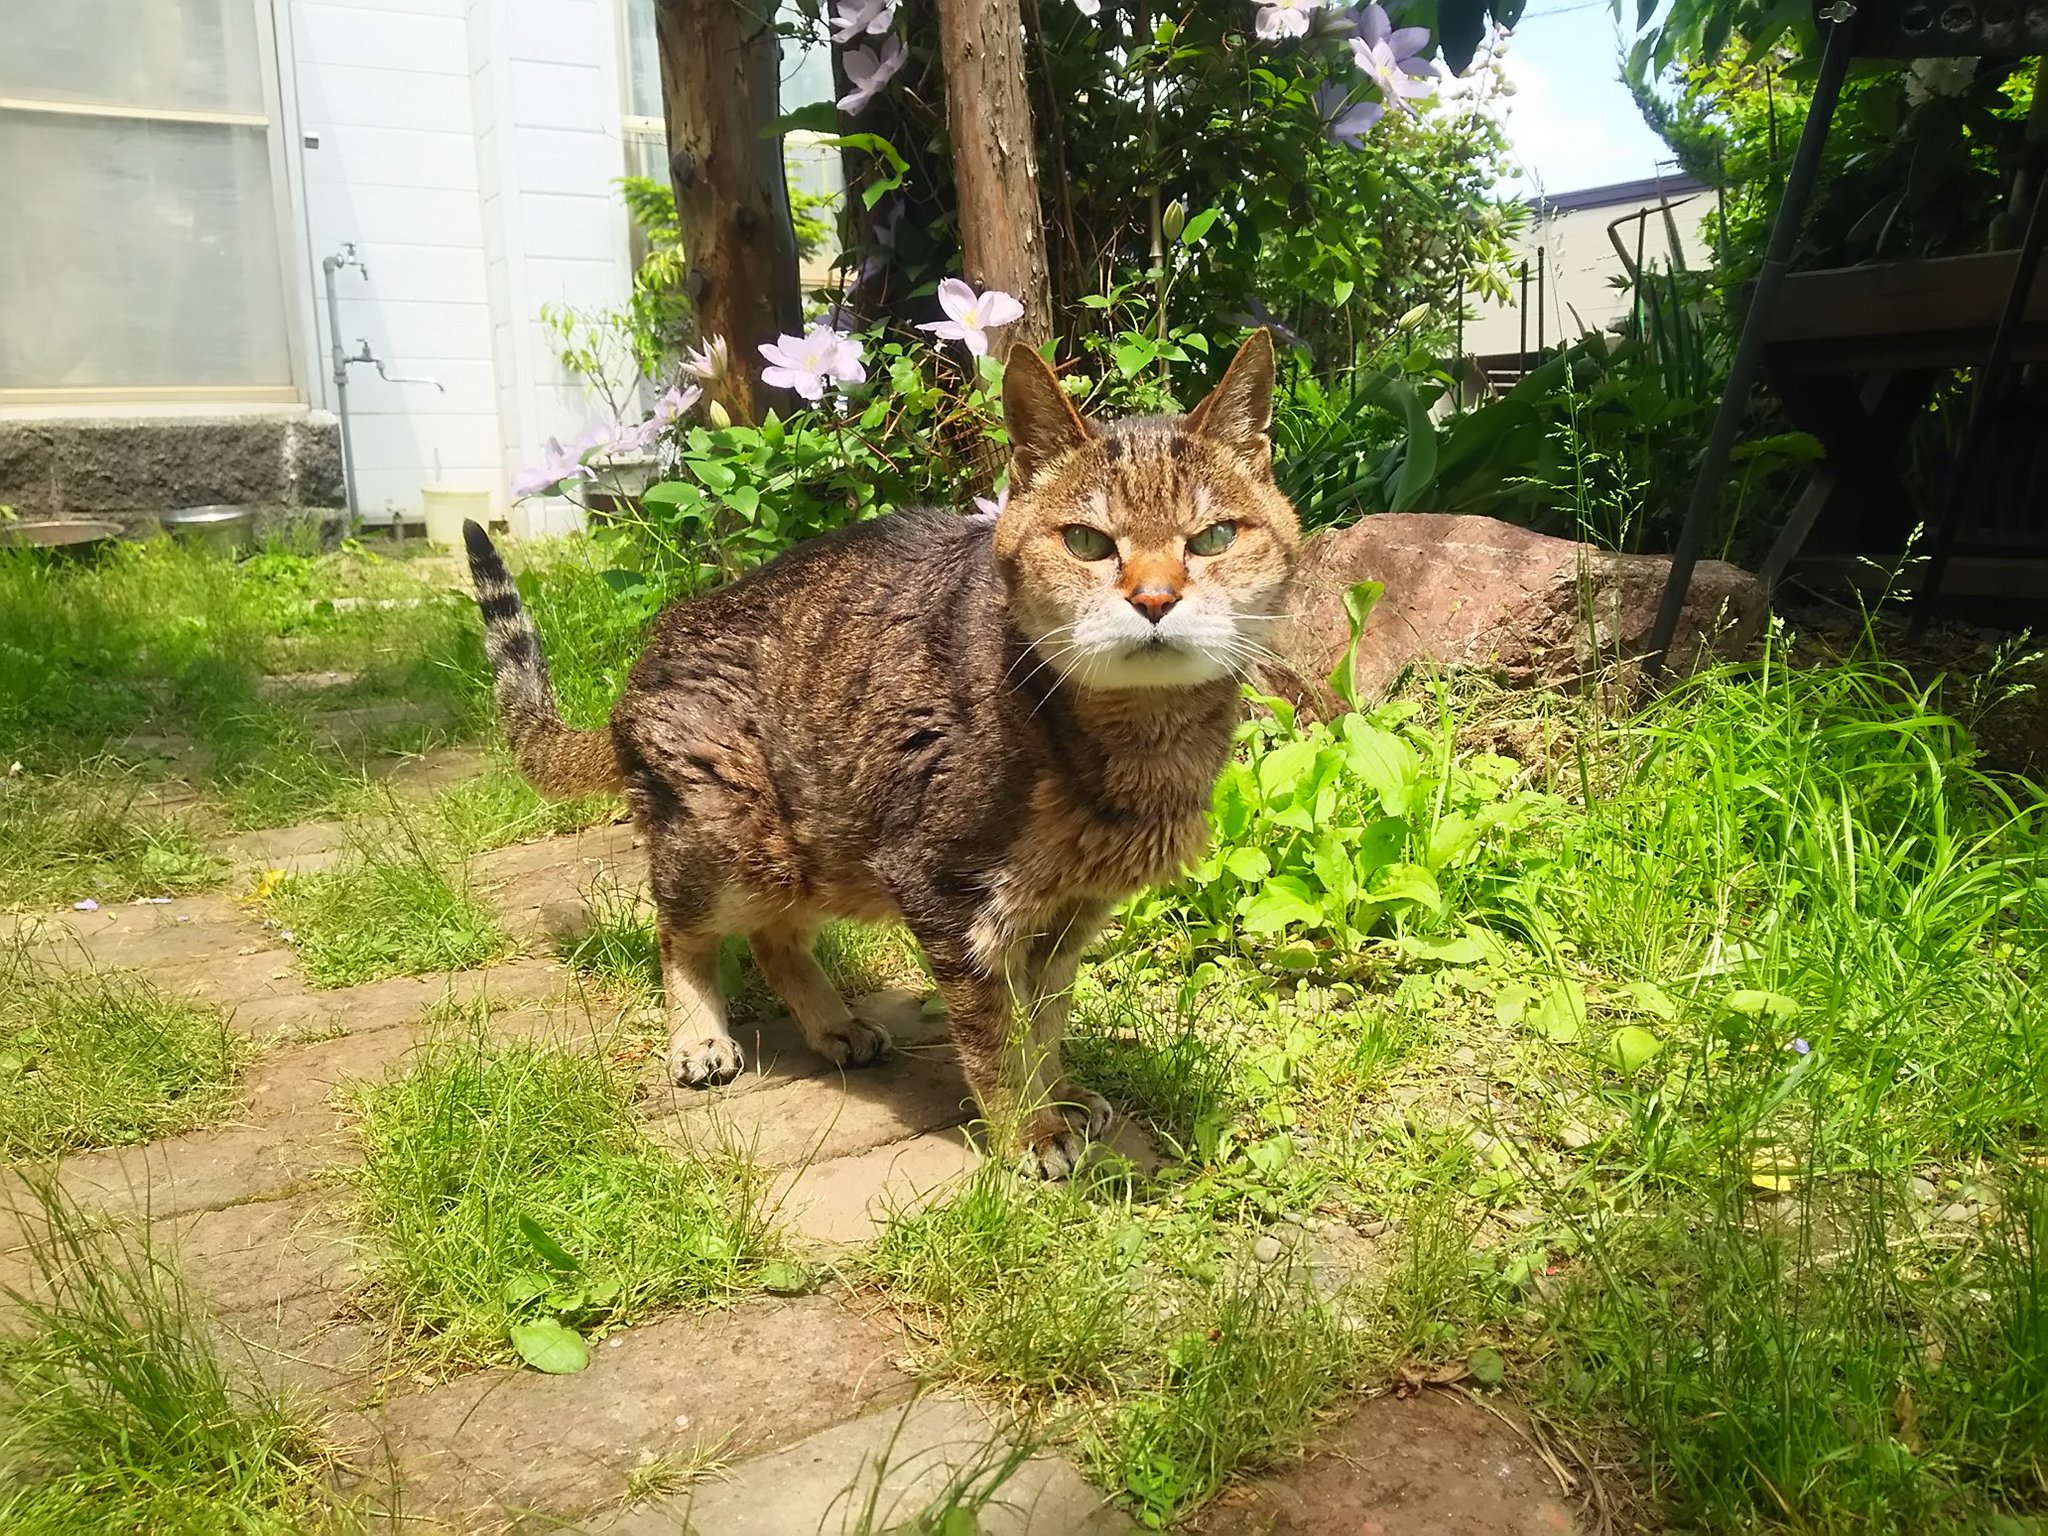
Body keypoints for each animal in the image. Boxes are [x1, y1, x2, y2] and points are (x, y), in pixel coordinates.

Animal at [464, 329, 1299, 1176]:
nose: (1155, 599)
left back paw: (834, 1023)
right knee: (681, 930)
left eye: (1214, 538)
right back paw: (700, 1038)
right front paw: (1028, 1129)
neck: (1137, 745)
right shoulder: (945, 890)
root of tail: (641, 664)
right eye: (1088, 542)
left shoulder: (1066, 914)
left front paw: (1059, 1094)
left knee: (775, 938)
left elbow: (1047, 1020)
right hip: (728, 835)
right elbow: (995, 1037)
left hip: (815, 843)